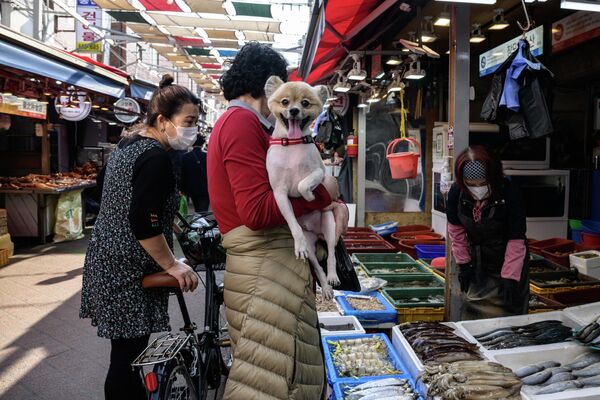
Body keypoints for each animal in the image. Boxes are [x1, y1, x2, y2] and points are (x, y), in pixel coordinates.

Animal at [264, 76, 340, 300]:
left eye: (305, 103)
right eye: (285, 102)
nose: (295, 110)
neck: (293, 143)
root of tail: (315, 232)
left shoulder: (320, 173)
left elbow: (303, 182)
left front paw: (308, 196)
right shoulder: (279, 193)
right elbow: (292, 221)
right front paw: (297, 243)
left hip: (329, 223)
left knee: (331, 254)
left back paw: (333, 277)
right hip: (311, 247)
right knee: (317, 265)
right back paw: (325, 287)